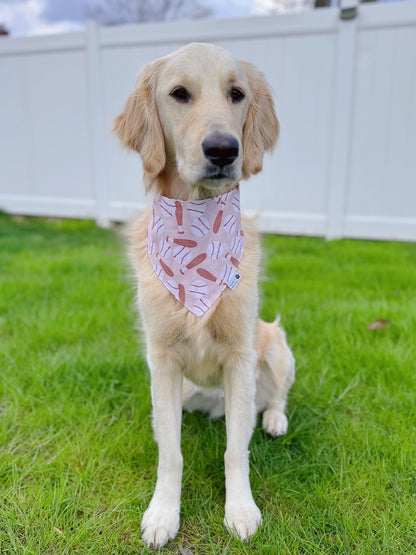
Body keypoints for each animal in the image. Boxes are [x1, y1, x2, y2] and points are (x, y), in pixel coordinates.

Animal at [114, 42, 296, 548]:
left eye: (236, 94)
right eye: (179, 94)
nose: (223, 150)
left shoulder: (240, 356)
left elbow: (236, 450)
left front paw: (241, 510)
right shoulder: (161, 360)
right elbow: (170, 453)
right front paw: (162, 513)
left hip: (276, 348)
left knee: (276, 398)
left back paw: (274, 419)